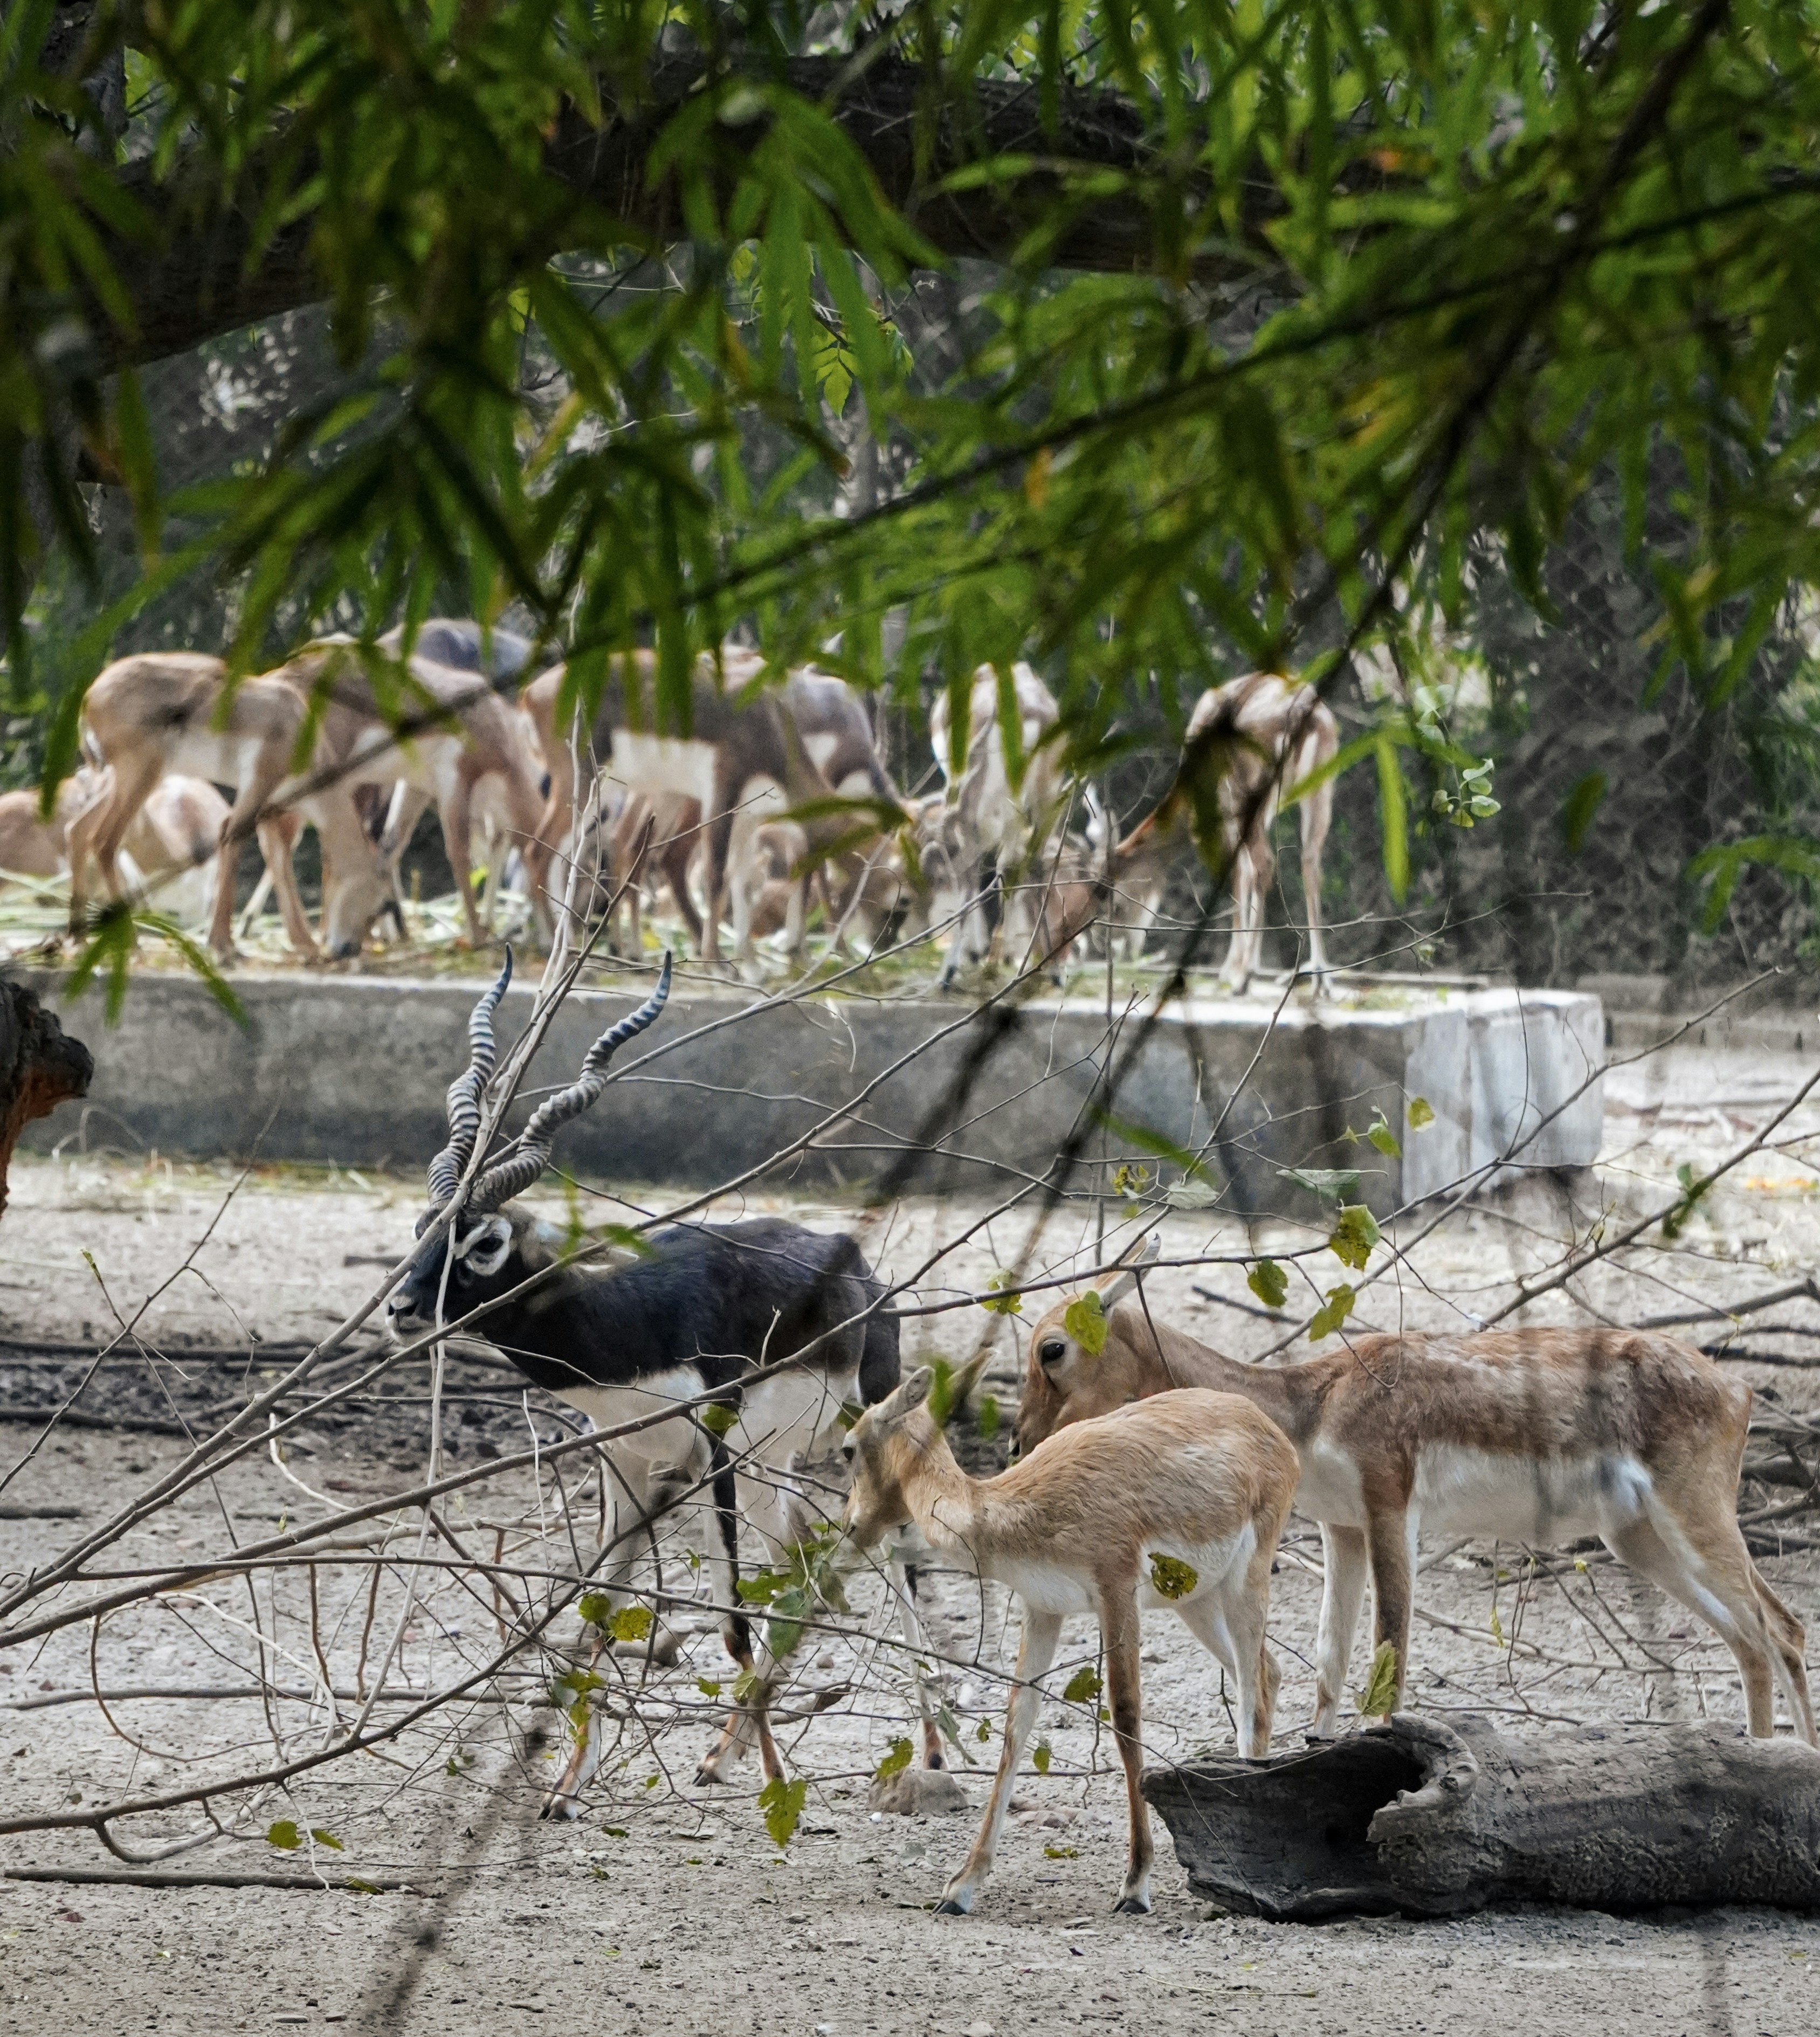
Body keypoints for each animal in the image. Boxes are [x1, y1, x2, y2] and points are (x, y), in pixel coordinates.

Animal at [64, 652, 396, 961]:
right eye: (378, 901)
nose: (347, 950)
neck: (293, 723)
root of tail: (91, 695)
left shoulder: (271, 804)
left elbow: (277, 860)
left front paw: (305, 945)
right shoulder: (257, 787)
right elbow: (233, 841)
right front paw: (223, 946)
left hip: (125, 781)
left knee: (78, 829)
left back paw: (78, 939)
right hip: (140, 777)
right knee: (105, 842)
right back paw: (133, 945)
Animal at [384, 952, 947, 1805]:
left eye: (484, 1242)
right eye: (424, 1227)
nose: (400, 1306)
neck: (630, 1323)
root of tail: (862, 1272)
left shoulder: (711, 1449)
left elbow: (730, 1621)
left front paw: (775, 1785)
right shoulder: (625, 1460)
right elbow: (599, 1611)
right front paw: (566, 1785)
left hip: (852, 1439)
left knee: (898, 1567)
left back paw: (933, 1752)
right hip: (770, 1463)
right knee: (801, 1564)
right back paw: (726, 1750)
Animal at [842, 1353, 1299, 1916]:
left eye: (848, 1447)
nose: (849, 1526)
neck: (1021, 1507)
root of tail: (1269, 1429)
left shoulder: (1115, 1590)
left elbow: (1125, 1716)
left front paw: (1135, 1884)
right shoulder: (1042, 1609)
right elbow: (1016, 1727)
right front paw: (960, 1887)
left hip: (1245, 1580)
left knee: (1253, 1690)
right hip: (1196, 1601)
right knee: (1265, 1673)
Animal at [1012, 1240, 1818, 1746]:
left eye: (1053, 1347)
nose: (1021, 1440)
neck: (1310, 1403)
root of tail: (1737, 1387)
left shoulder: (1390, 1504)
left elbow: (1390, 1638)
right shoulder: (1341, 1526)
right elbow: (1331, 1654)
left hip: (1693, 1512)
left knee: (1781, 1627)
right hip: (1641, 1538)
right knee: (1749, 1638)